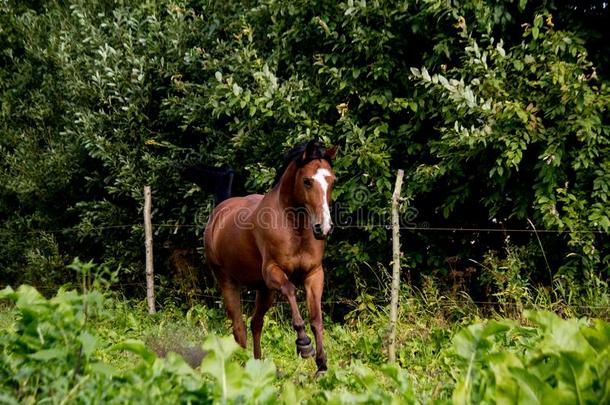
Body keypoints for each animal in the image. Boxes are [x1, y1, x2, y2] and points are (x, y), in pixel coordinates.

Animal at [204, 140, 338, 372]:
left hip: (264, 290)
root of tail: (219, 212)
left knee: (255, 323)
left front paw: (322, 364)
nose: (324, 228)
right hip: (227, 280)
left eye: (332, 180)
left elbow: (316, 319)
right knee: (239, 327)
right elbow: (291, 290)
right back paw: (241, 367)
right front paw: (304, 344)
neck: (294, 227)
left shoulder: (314, 274)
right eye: (307, 181)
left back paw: (257, 366)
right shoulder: (273, 272)